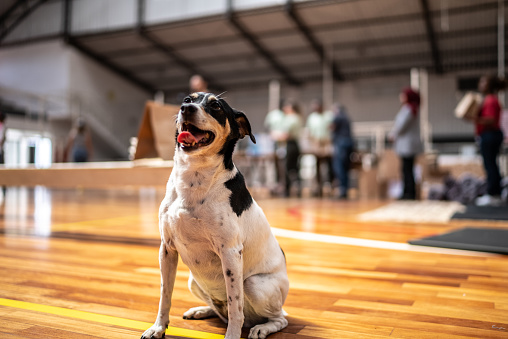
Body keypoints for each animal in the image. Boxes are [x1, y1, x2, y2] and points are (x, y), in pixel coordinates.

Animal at [141, 92, 290, 339]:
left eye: (216, 106)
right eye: (187, 99)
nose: (186, 108)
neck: (194, 178)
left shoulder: (230, 253)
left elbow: (235, 305)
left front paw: (232, 336)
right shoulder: (167, 249)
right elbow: (165, 296)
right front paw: (158, 328)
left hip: (253, 285)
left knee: (278, 318)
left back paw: (261, 328)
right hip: (193, 280)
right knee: (221, 310)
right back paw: (202, 310)